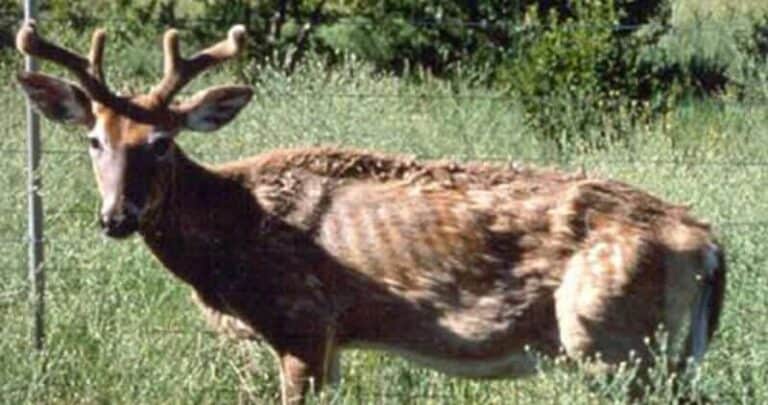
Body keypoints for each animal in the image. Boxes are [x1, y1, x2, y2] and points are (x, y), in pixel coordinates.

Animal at [16, 21, 726, 404]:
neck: (236, 232)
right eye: (94, 138)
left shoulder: (302, 322)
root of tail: (708, 243)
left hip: (611, 339)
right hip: (667, 354)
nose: (117, 216)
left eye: (162, 142)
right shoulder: (333, 340)